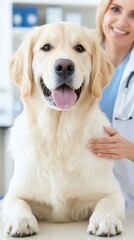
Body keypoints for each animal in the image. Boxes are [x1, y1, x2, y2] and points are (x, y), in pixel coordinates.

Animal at [1, 22, 124, 236]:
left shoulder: (113, 192)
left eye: (80, 48)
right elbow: (18, 203)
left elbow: (107, 202)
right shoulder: (13, 193)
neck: (58, 136)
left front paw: (105, 219)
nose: (65, 66)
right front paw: (21, 220)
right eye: (46, 47)